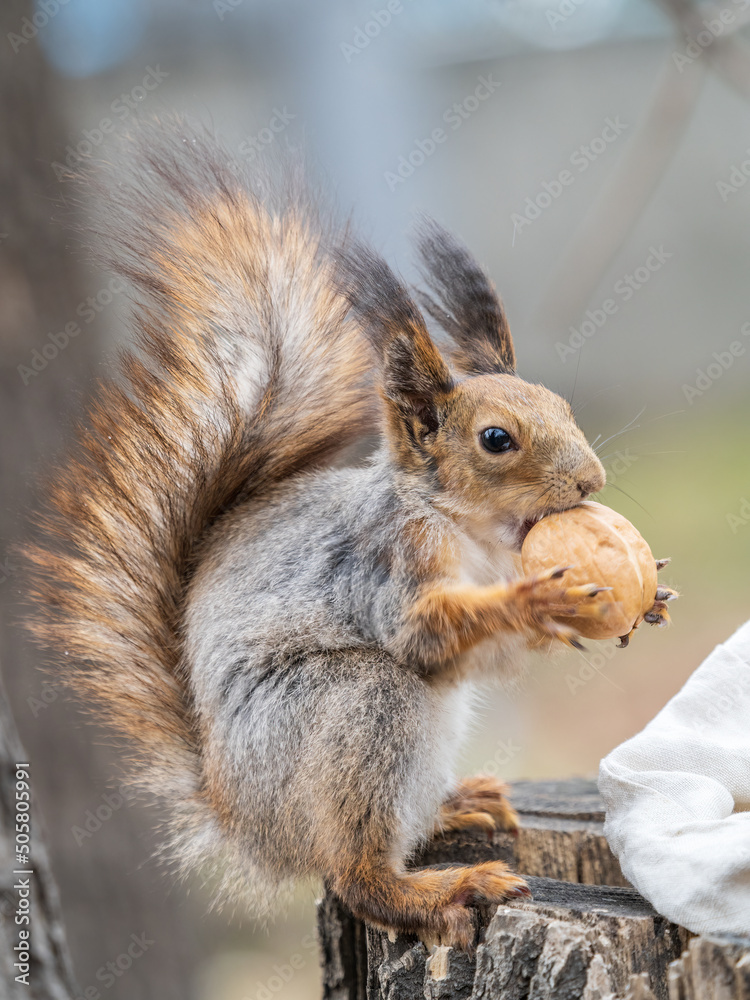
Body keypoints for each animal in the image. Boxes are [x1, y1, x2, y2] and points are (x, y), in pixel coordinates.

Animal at [24, 119, 665, 951]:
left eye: (561, 406)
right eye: (497, 439)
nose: (591, 481)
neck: (472, 534)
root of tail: (246, 827)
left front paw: (641, 600)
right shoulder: (387, 563)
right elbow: (421, 634)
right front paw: (535, 602)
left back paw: (457, 807)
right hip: (351, 709)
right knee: (355, 873)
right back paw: (434, 888)